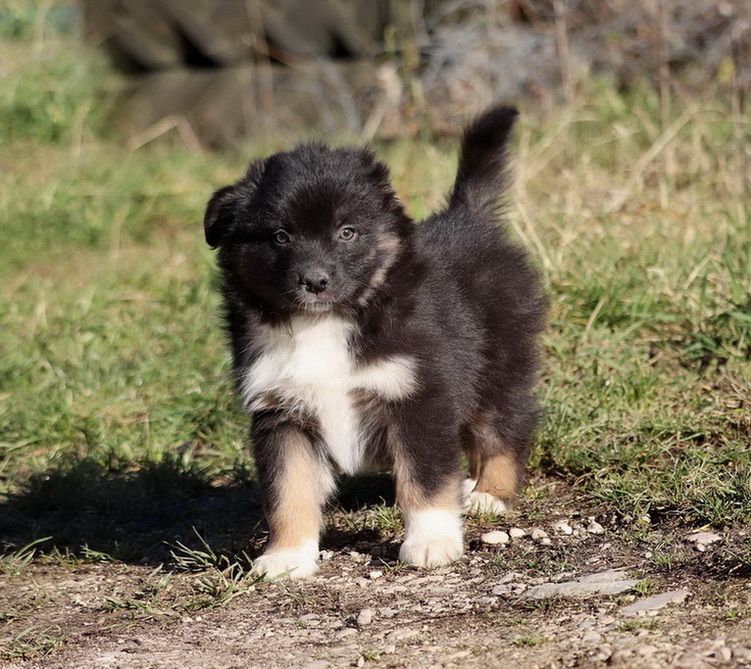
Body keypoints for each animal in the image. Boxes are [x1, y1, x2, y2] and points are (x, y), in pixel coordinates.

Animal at [204, 105, 545, 579]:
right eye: (280, 236)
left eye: (347, 232)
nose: (315, 281)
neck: (325, 322)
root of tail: (468, 217)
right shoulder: (280, 413)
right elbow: (289, 491)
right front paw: (287, 557)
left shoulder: (417, 394)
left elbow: (425, 479)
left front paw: (431, 542)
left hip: (499, 363)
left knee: (507, 425)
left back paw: (489, 494)